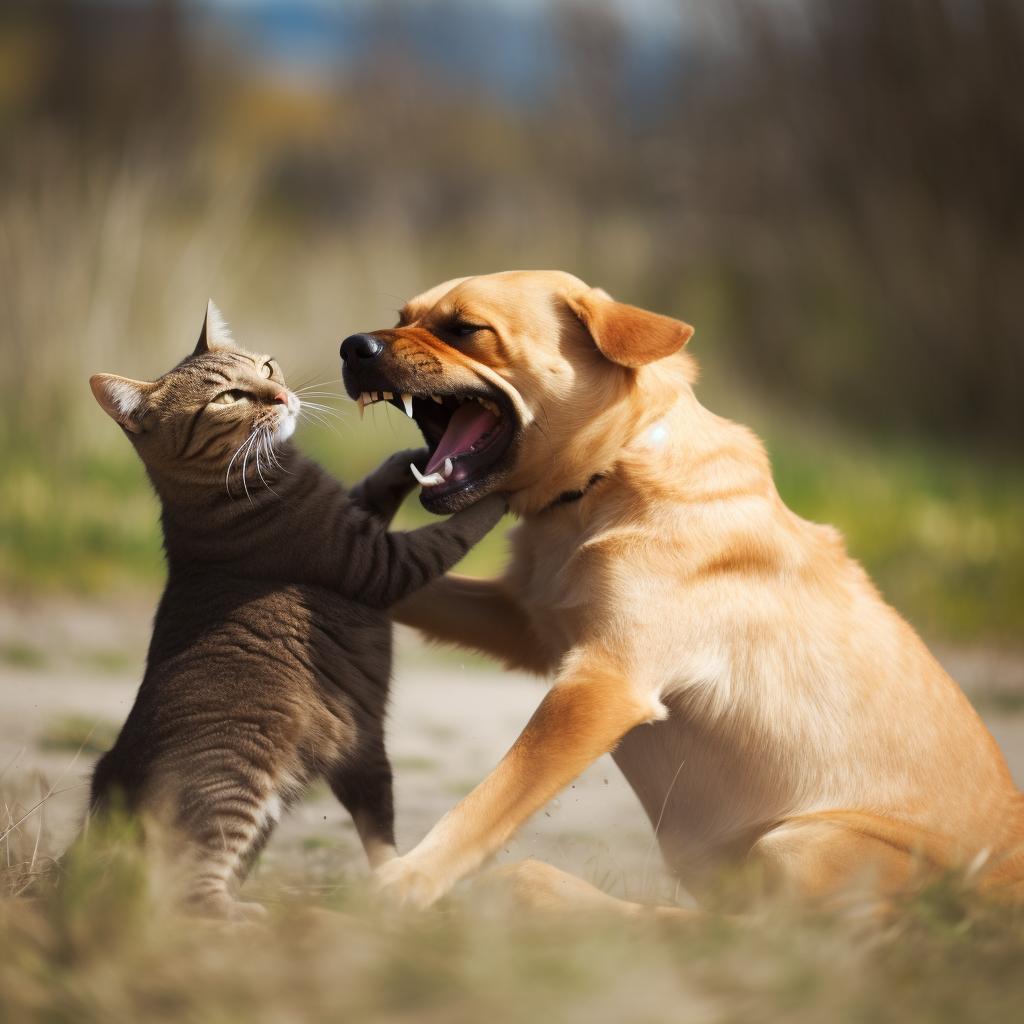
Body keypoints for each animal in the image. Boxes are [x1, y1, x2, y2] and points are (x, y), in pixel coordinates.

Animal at [86, 299, 505, 917]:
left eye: (266, 366)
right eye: (229, 397)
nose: (282, 395)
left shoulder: (360, 515)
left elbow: (378, 484)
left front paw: (419, 456)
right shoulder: (380, 562)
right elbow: (456, 529)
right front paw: (501, 489)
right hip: (240, 779)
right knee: (187, 895)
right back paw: (253, 918)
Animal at [337, 268, 1024, 917]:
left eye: (465, 329)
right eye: (404, 316)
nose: (352, 346)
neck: (607, 479)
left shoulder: (604, 683)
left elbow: (491, 800)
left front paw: (409, 881)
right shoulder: (529, 625)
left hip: (801, 846)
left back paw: (551, 891)